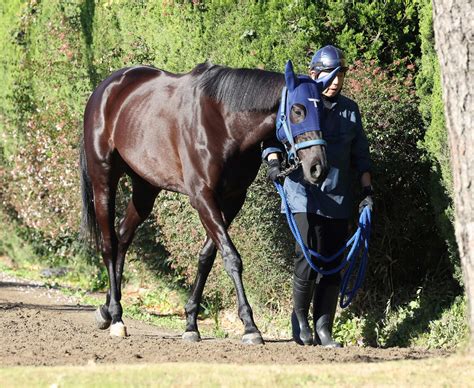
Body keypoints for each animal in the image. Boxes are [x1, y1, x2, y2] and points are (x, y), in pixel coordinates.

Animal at [80, 59, 336, 344]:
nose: (318, 167)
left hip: (145, 187)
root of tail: (107, 88)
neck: (223, 123)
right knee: (109, 244)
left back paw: (108, 307)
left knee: (124, 235)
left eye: (323, 112)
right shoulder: (203, 197)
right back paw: (115, 316)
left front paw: (191, 322)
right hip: (104, 179)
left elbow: (207, 257)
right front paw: (250, 326)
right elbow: (231, 257)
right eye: (297, 110)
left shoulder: (232, 200)